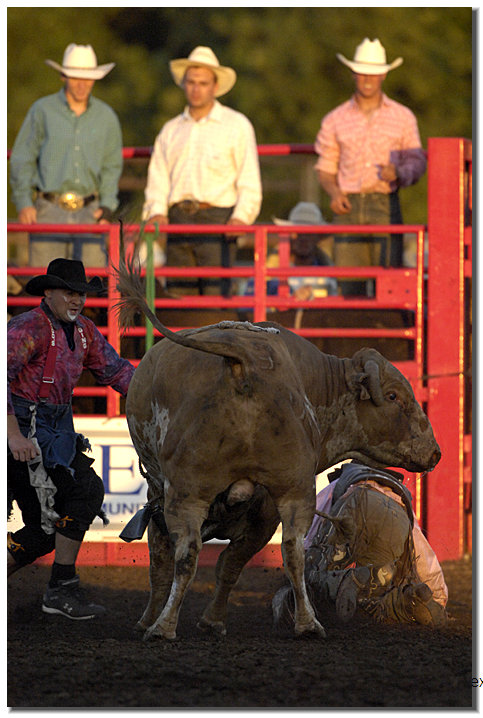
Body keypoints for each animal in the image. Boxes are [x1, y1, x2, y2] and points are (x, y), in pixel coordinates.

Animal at [115, 258, 441, 641]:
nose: (435, 453)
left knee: (193, 555)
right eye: (392, 396)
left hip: (196, 492)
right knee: (287, 552)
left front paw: (196, 620)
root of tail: (243, 361)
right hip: (285, 489)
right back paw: (305, 624)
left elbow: (198, 562)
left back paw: (165, 626)